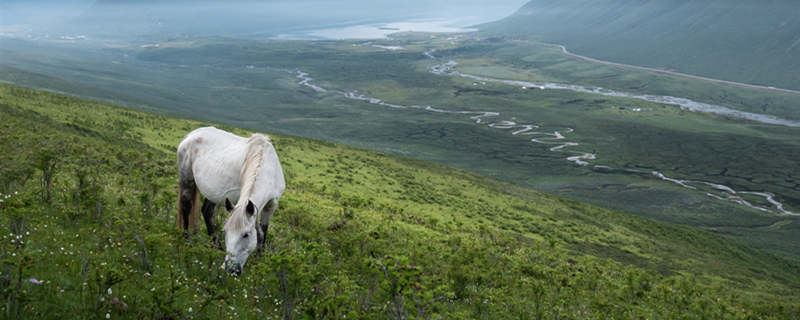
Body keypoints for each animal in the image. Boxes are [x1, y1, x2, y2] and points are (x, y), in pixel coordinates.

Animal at [179, 126, 288, 276]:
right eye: (226, 232)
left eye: (246, 235)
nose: (231, 269)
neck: (267, 167)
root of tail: (191, 134)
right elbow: (260, 231)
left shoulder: (270, 205)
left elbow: (262, 231)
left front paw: (259, 260)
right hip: (187, 180)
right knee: (186, 207)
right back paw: (187, 242)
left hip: (215, 193)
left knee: (207, 211)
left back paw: (216, 247)